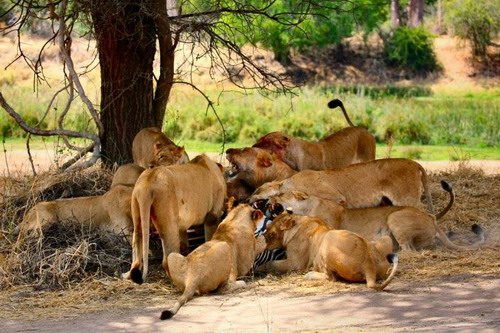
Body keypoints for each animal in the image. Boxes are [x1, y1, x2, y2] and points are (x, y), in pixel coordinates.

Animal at [124, 154, 226, 282]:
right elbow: (209, 240)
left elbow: (185, 242)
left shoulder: (183, 225)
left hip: (137, 213)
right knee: (167, 259)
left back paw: (128, 275)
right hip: (169, 224)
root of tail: (148, 182)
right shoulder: (213, 216)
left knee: (137, 250)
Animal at [260, 214, 396, 290]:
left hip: (328, 240)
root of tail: (368, 264)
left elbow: (271, 264)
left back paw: (309, 274)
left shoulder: (295, 263)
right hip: (385, 238)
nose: (263, 240)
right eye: (266, 228)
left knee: (331, 277)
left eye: (271, 233)